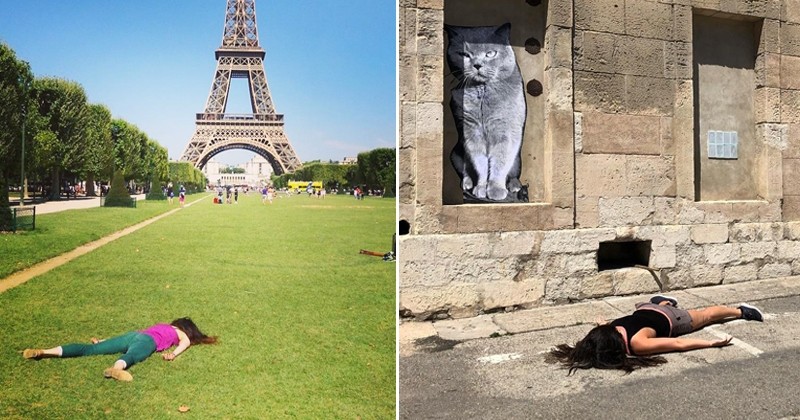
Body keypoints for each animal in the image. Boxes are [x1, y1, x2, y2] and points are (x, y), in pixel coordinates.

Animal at [444, 23, 524, 203]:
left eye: (490, 53)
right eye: (464, 55)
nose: (477, 65)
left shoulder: (507, 133)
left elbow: (500, 162)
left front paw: (495, 190)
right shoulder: (471, 132)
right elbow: (479, 163)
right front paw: (480, 188)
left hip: (517, 157)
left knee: (513, 172)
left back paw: (514, 186)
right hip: (455, 154)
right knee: (465, 170)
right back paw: (467, 183)